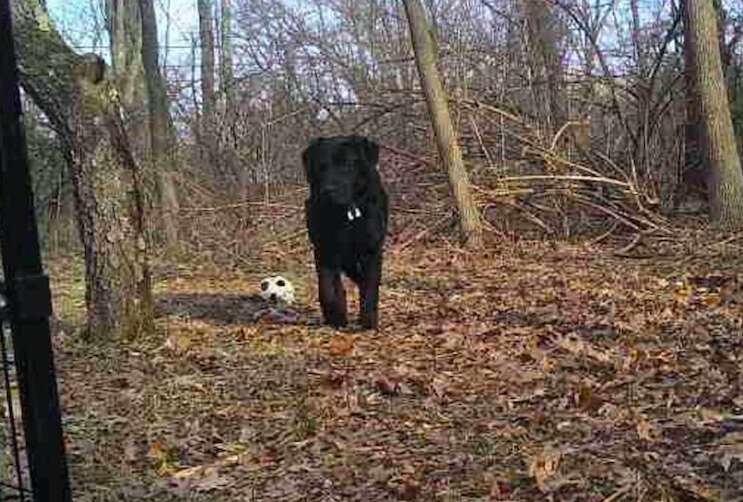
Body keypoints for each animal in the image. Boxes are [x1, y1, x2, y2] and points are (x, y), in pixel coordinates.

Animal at [304, 135, 392, 330]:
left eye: (347, 164)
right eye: (321, 166)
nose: (328, 190)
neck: (345, 216)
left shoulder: (371, 249)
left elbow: (370, 287)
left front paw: (368, 320)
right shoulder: (324, 249)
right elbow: (328, 288)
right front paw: (337, 316)